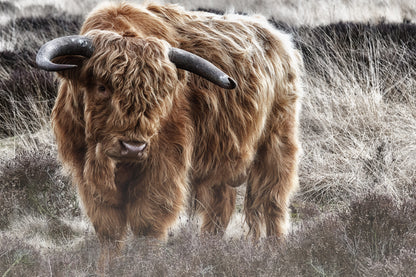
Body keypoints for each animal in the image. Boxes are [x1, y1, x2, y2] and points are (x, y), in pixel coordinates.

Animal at [36, 1, 302, 260]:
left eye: (160, 93)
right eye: (102, 87)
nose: (133, 147)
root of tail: (276, 37)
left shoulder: (162, 165)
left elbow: (148, 222)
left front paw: (147, 263)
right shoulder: (85, 171)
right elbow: (109, 228)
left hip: (278, 141)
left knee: (273, 200)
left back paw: (275, 250)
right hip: (221, 158)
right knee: (221, 205)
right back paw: (210, 248)